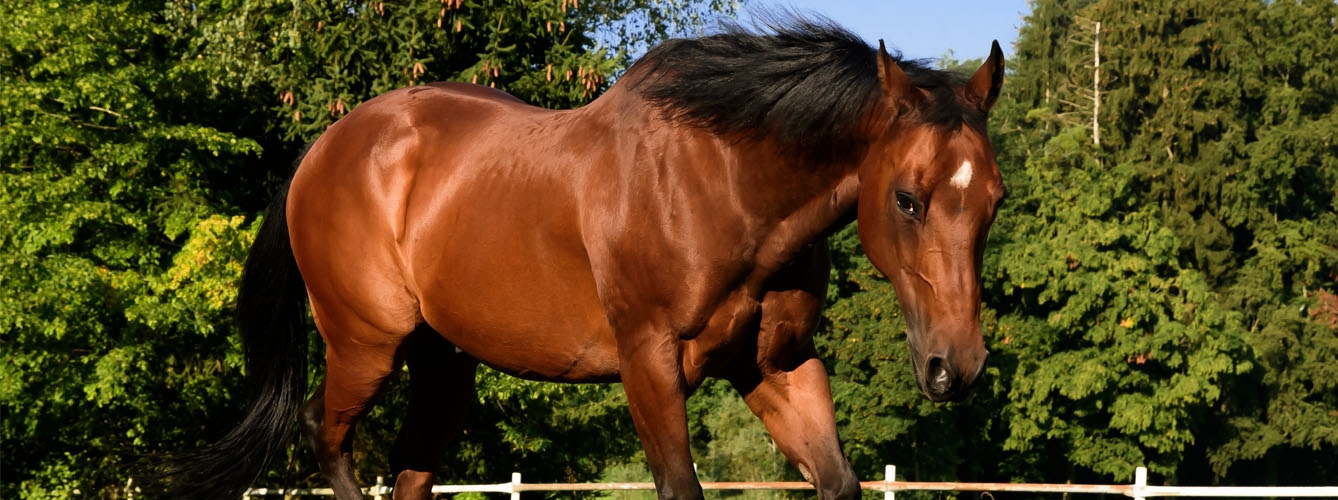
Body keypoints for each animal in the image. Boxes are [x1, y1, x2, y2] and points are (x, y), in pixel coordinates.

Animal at [161, 18, 1005, 500]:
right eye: (907, 199)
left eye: (994, 199)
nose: (954, 368)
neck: (727, 184)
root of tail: (321, 152)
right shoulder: (650, 364)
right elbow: (681, 488)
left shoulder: (778, 365)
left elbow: (837, 481)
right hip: (366, 345)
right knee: (326, 437)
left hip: (445, 367)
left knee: (408, 471)